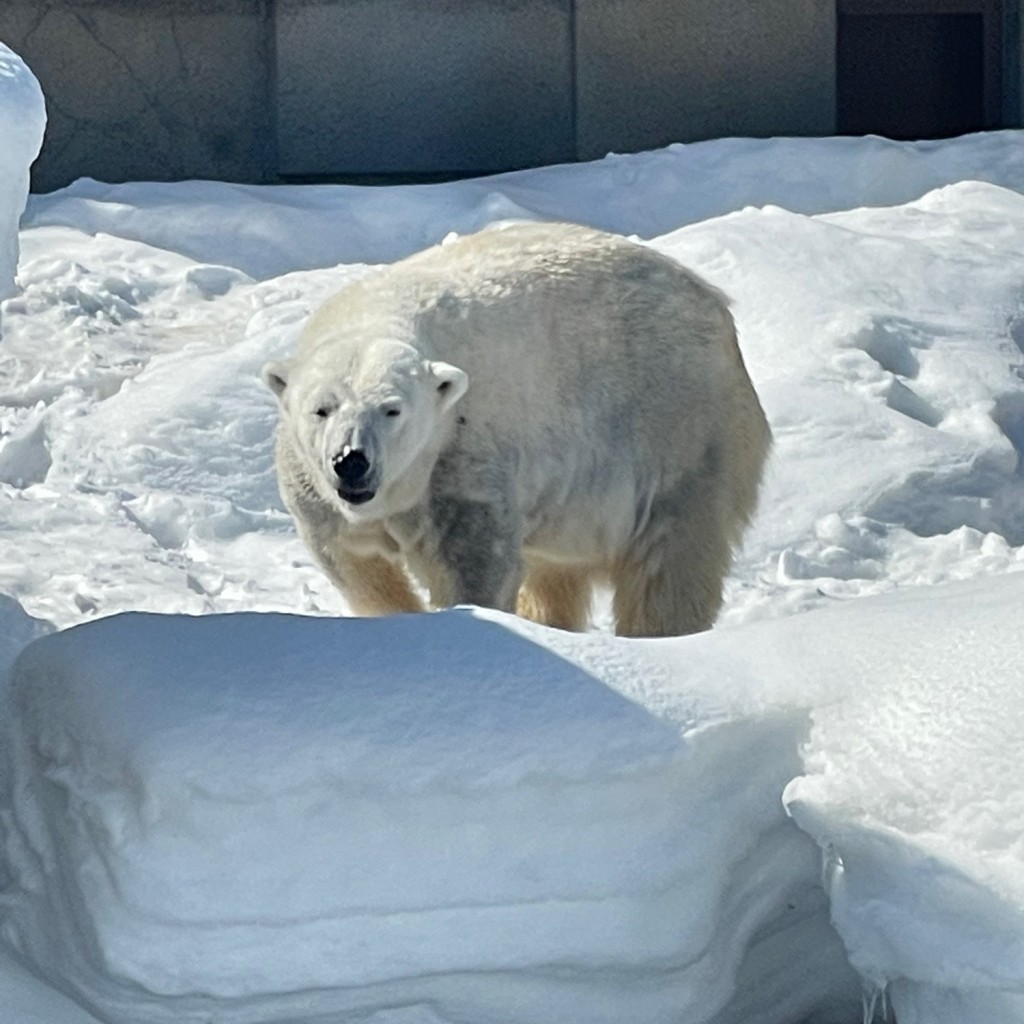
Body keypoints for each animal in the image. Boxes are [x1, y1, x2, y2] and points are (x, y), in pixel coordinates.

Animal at [264, 223, 770, 634]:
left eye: (392, 410)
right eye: (322, 409)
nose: (351, 462)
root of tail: (715, 303)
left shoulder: (460, 460)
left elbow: (474, 563)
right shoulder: (315, 493)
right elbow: (354, 564)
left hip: (680, 431)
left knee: (669, 562)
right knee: (554, 571)